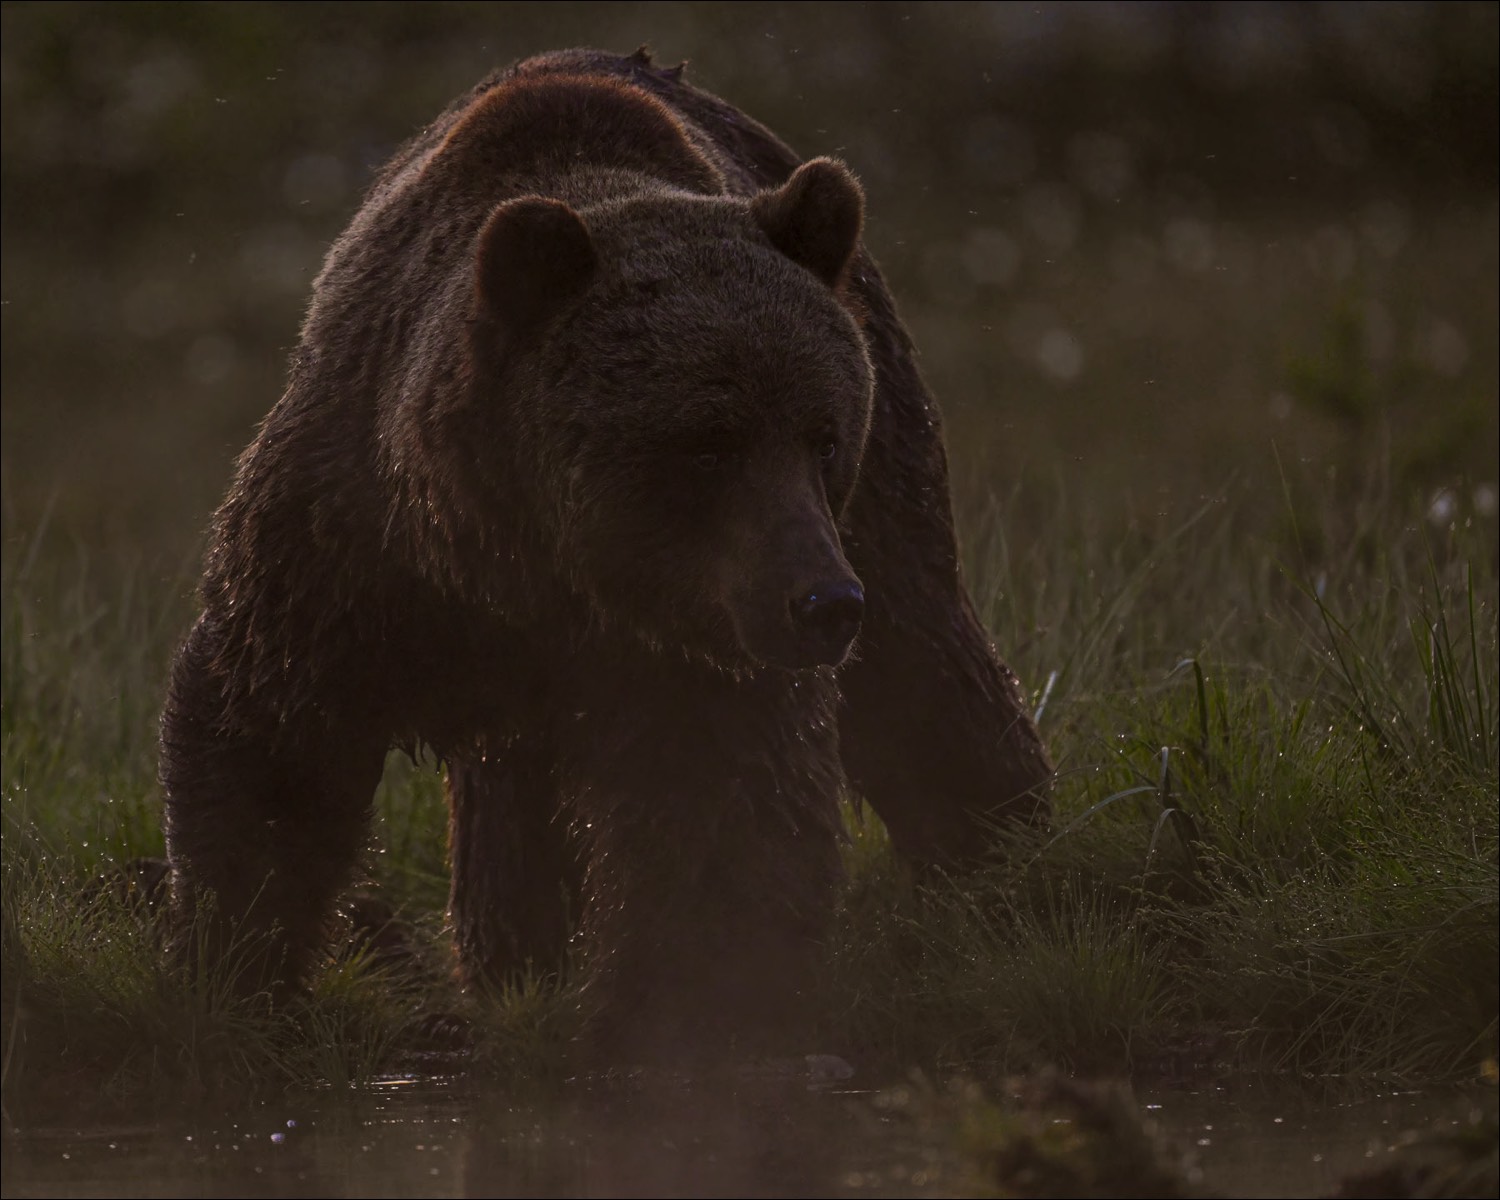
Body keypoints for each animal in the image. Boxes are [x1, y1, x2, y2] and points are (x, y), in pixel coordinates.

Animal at [158, 46, 1050, 1062]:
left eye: (821, 435)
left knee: (925, 663)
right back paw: (514, 959)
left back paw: (1006, 867)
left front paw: (681, 1010)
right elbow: (271, 739)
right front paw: (232, 979)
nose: (823, 602)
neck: (532, 564)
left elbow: (722, 806)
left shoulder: (698, 644)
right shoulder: (351, 552)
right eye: (709, 442)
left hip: (887, 473)